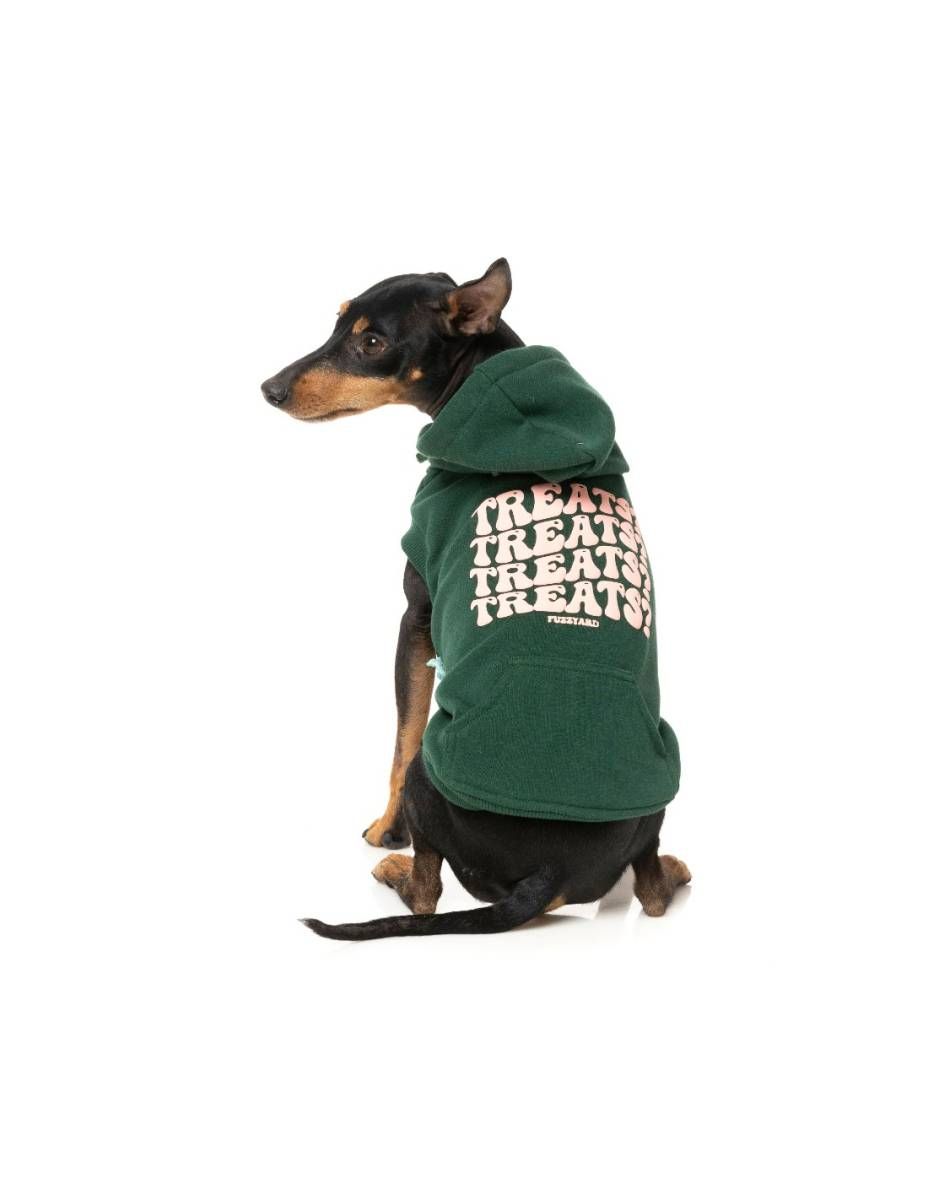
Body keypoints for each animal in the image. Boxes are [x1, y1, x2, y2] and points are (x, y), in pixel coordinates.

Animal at [262, 259, 690, 938]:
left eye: (372, 342)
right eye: (336, 321)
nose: (269, 389)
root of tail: (549, 873)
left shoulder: (417, 617)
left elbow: (400, 736)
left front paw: (384, 832)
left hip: (432, 771)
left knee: (427, 891)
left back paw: (394, 870)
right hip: (662, 784)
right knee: (648, 891)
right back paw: (673, 868)